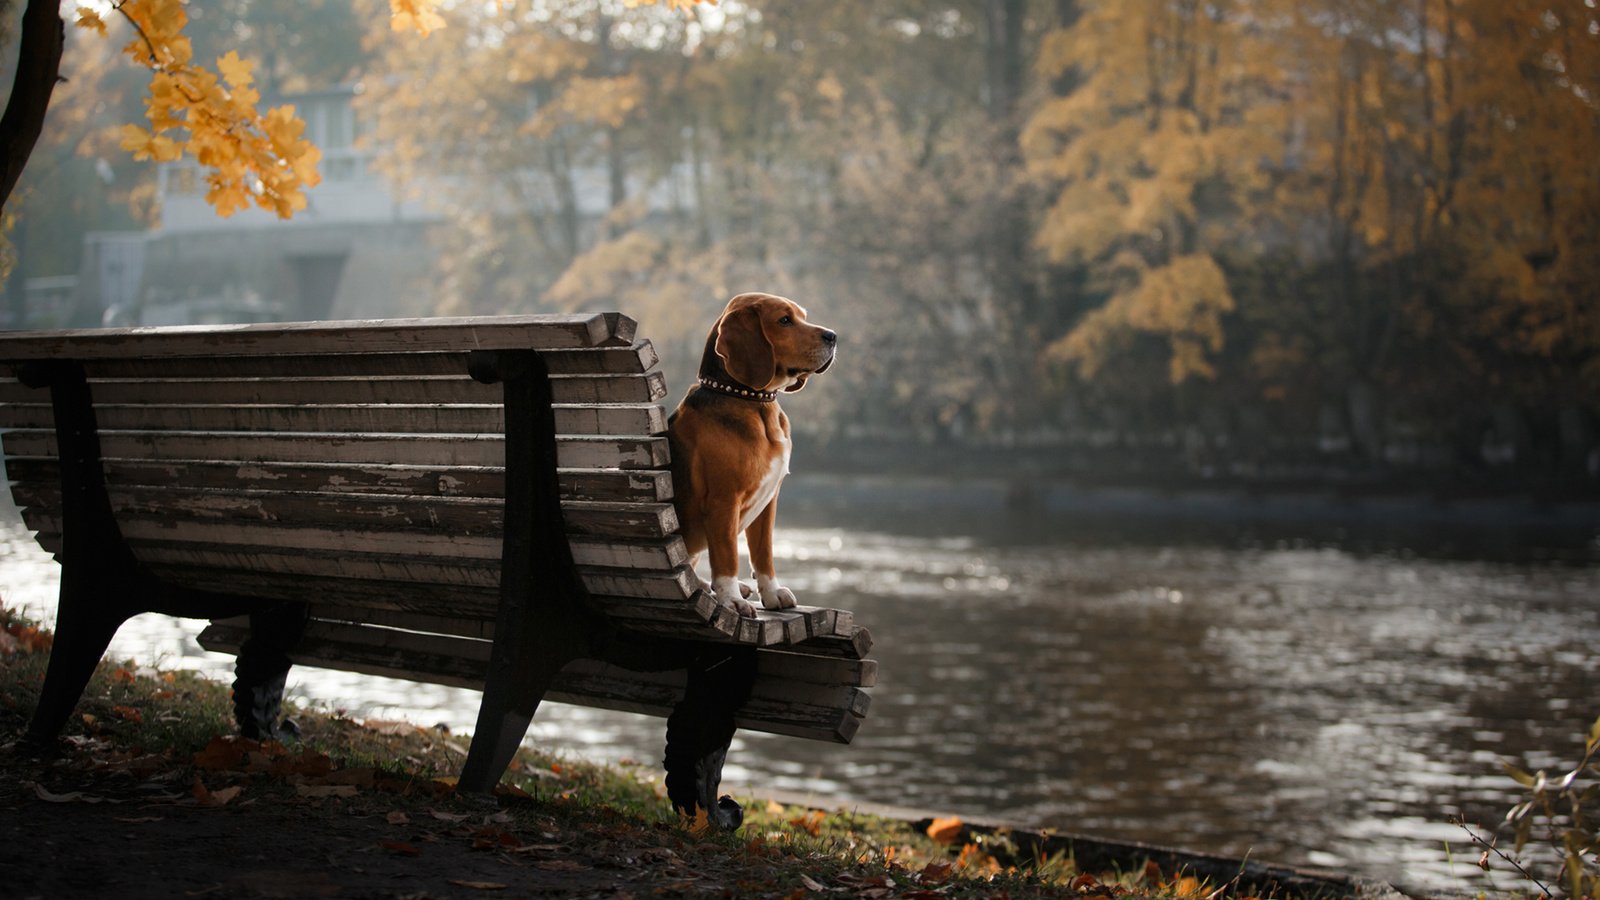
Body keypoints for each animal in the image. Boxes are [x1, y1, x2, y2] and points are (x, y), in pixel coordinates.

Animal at [665, 291, 838, 611]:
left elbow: (764, 553)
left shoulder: (768, 503)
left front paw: (771, 592)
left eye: (803, 316)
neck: (752, 401)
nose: (833, 336)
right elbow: (727, 557)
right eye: (784, 320)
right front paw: (730, 598)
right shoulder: (723, 501)